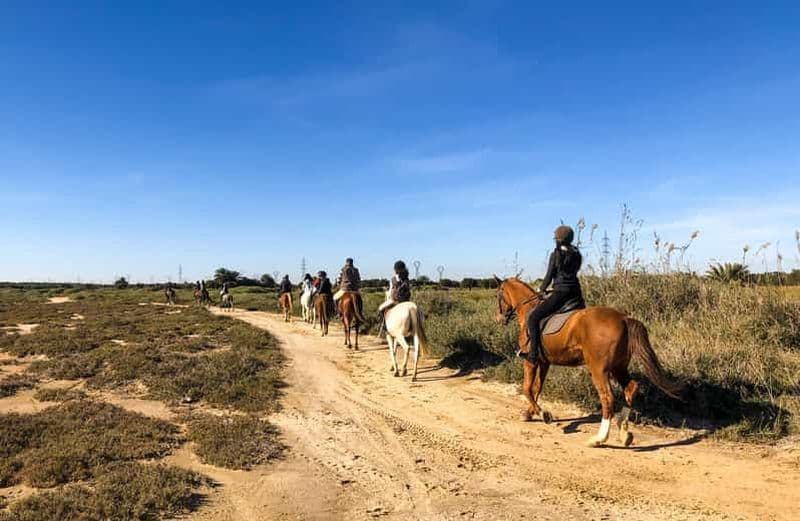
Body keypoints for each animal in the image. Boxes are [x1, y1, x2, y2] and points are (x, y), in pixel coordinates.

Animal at [494, 276, 681, 447]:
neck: (529, 309)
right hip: (618, 367)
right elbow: (536, 388)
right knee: (631, 388)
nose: (498, 319)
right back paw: (624, 433)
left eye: (498, 295)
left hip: (599, 370)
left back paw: (599, 439)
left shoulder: (530, 361)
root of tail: (623, 318)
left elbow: (527, 388)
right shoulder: (544, 362)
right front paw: (529, 413)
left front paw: (543, 414)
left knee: (607, 398)